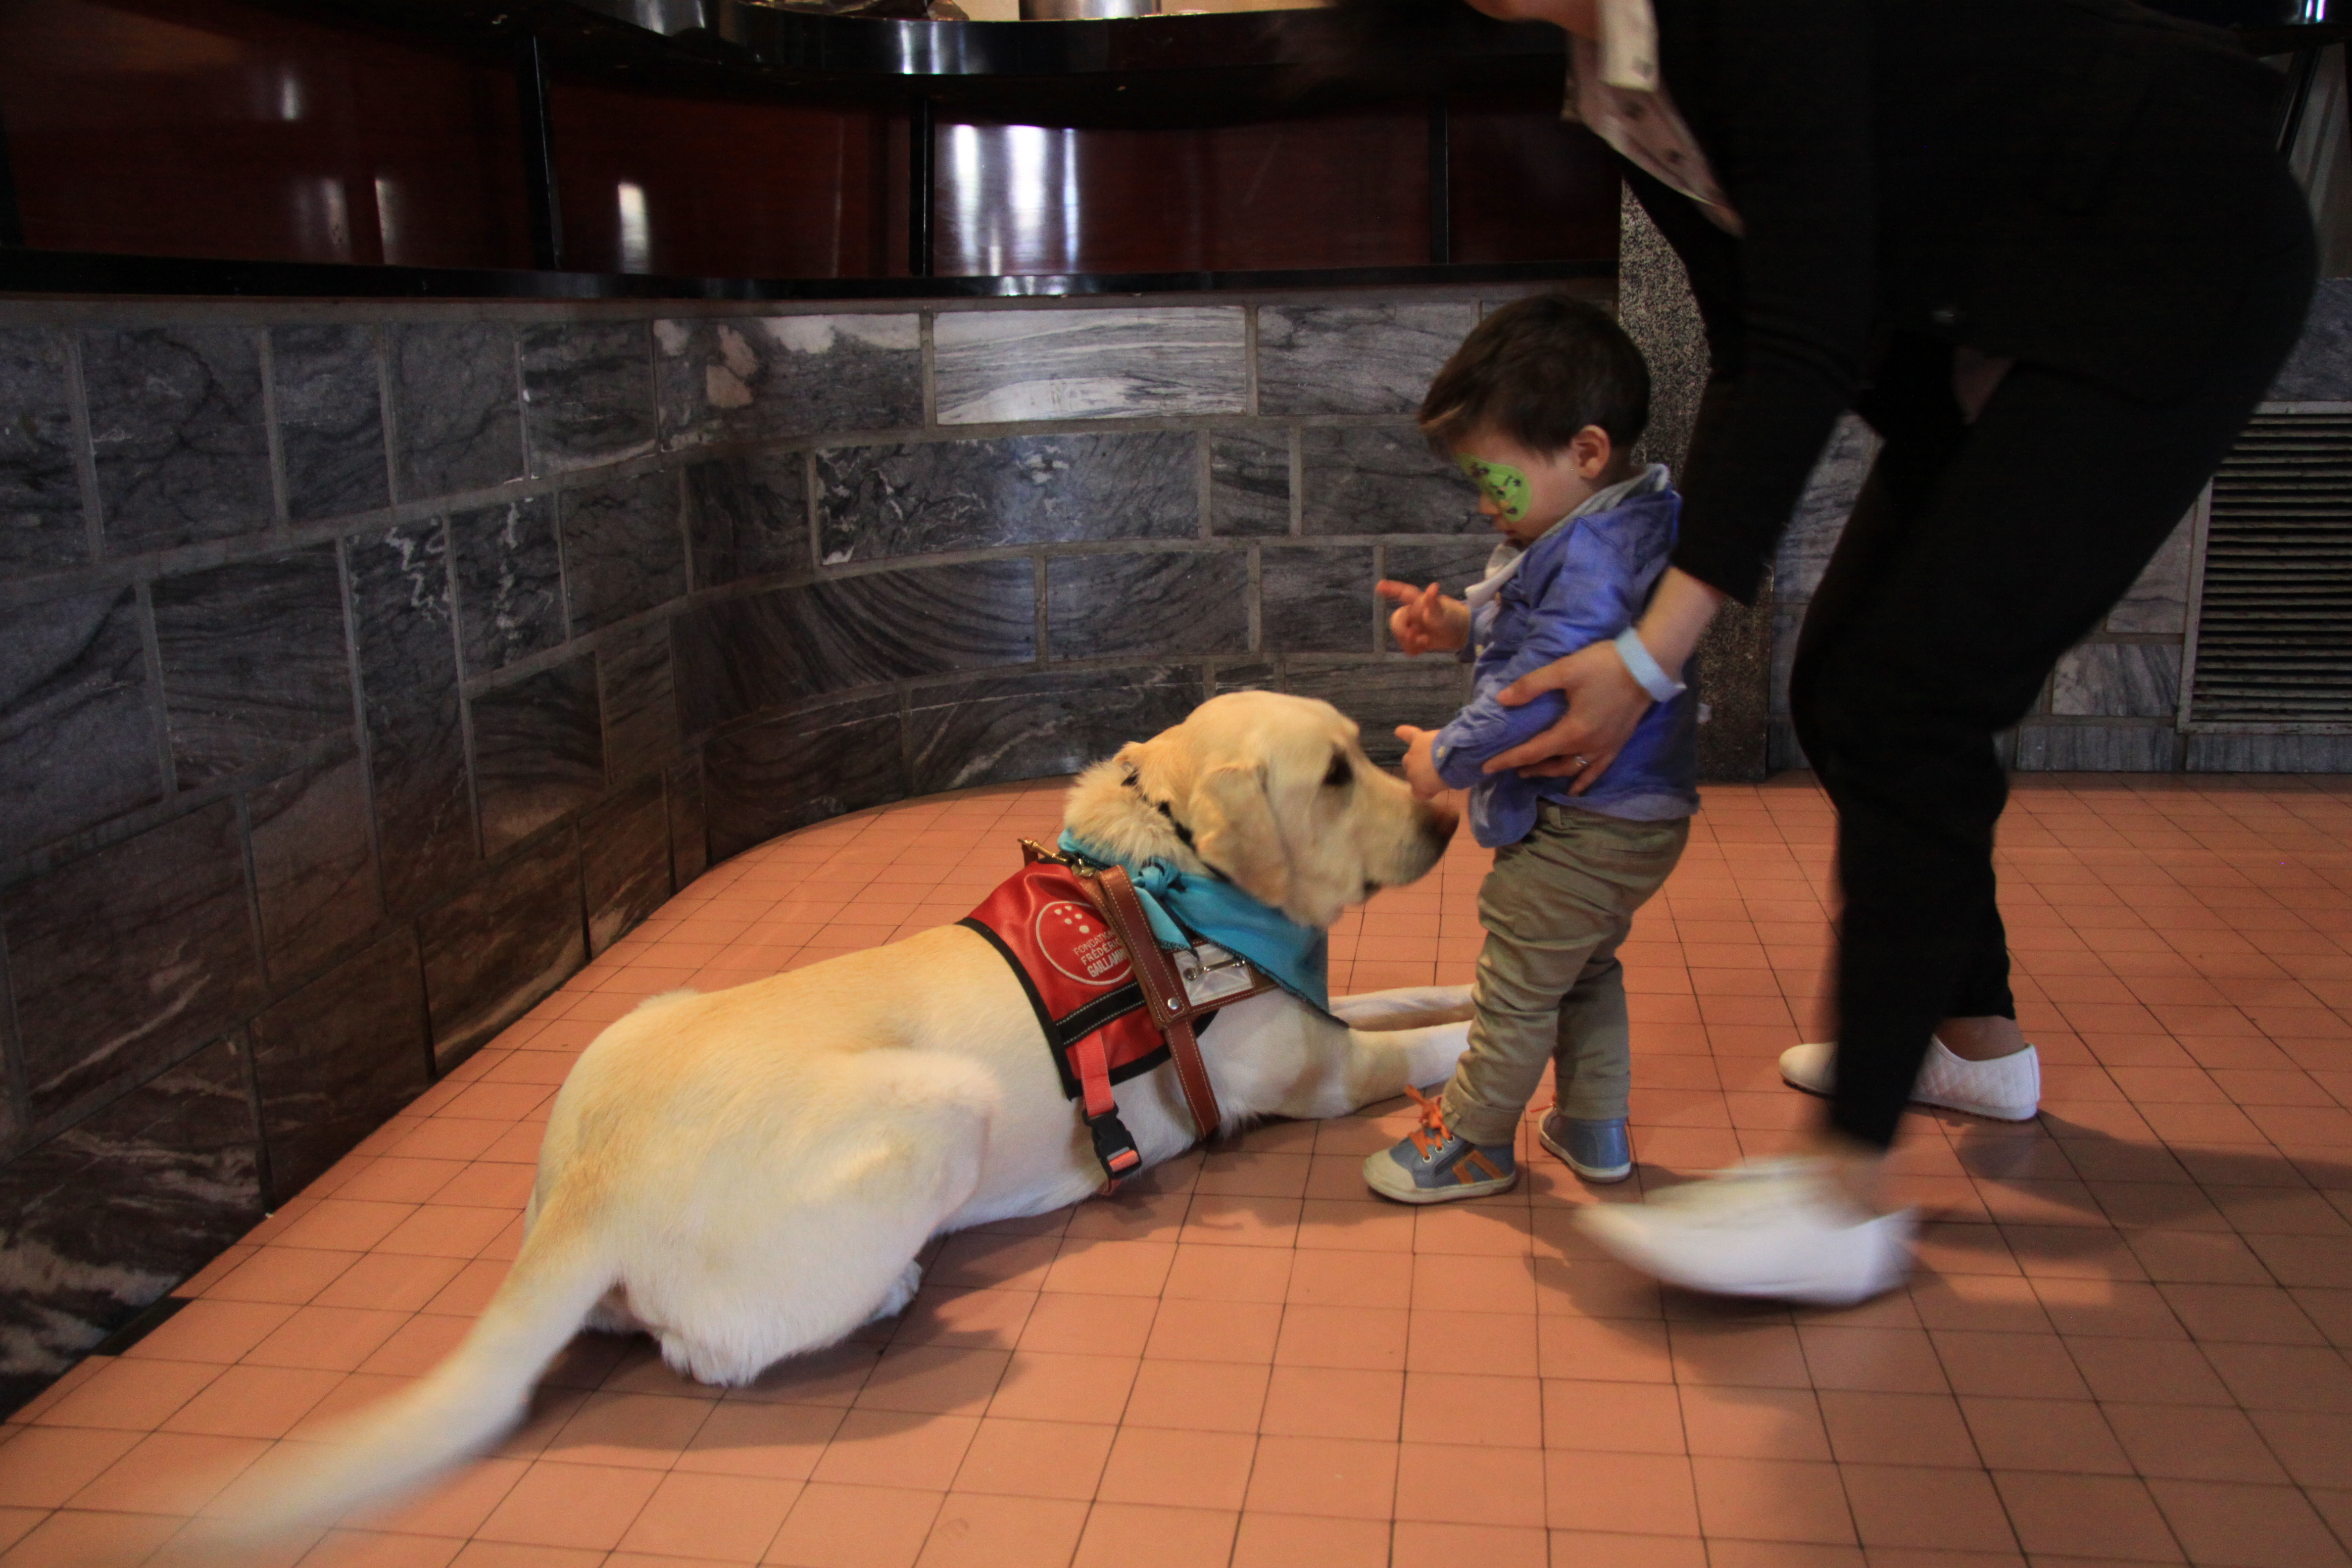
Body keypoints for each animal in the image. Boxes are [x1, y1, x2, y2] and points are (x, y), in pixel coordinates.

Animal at [205, 691, 1475, 1540]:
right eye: (1332, 775)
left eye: (1364, 749)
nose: (1448, 823)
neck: (1179, 885)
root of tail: (591, 1189)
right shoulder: (1320, 1072)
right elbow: (1432, 1045)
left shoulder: (1327, 1015)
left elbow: (1417, 991)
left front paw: (1476, 976)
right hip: (939, 1106)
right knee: (713, 1351)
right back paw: (891, 1286)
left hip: (639, 1018)